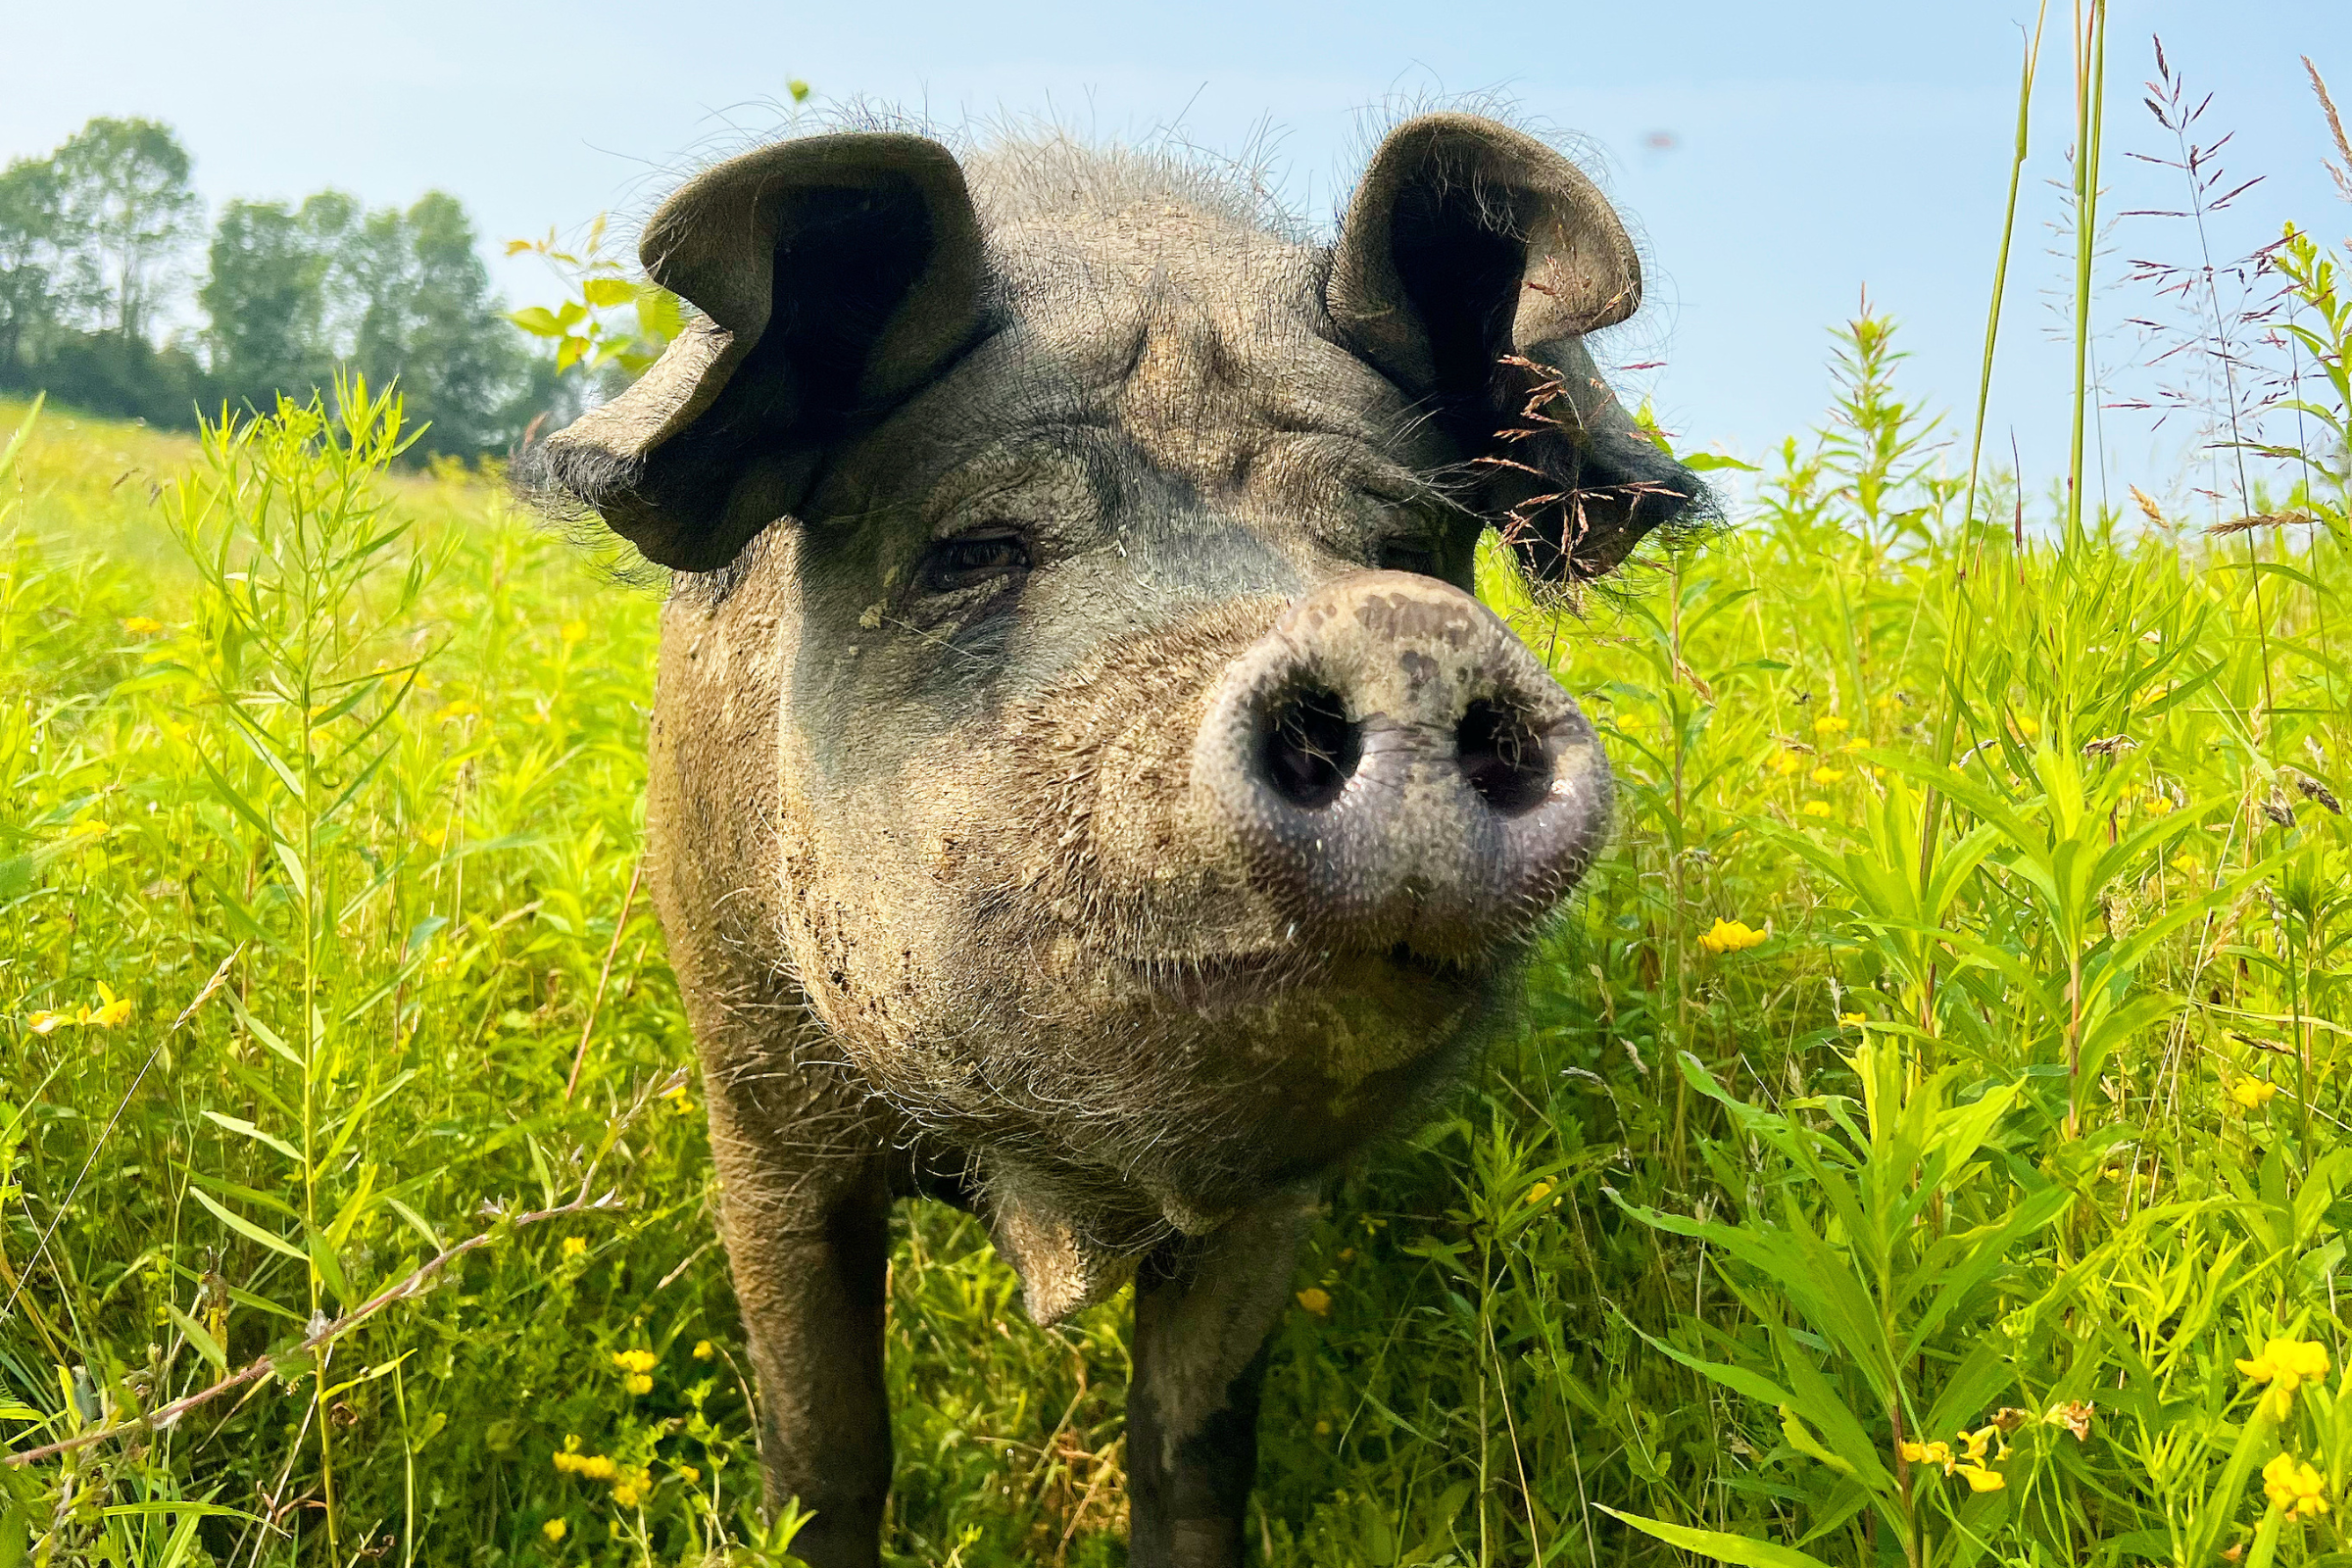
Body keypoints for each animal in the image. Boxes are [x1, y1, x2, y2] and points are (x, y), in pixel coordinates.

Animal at [527, 111, 1703, 1568]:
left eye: (1408, 545)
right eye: (974, 546)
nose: (1402, 634)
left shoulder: (1272, 1198)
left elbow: (1193, 1448)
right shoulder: (758, 1110)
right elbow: (825, 1445)